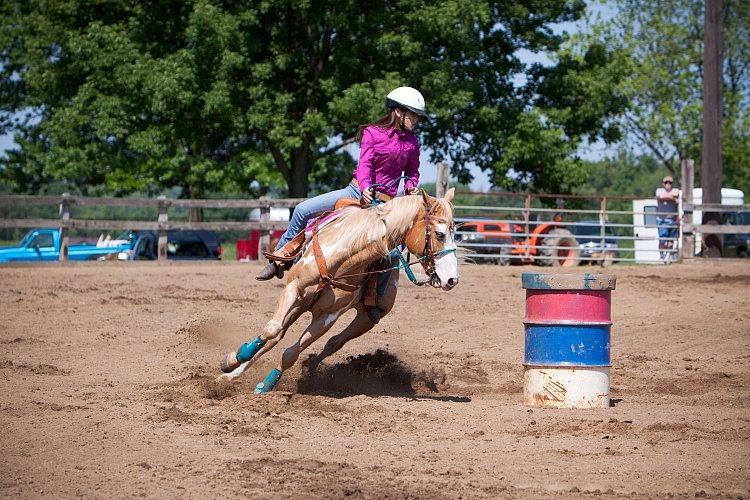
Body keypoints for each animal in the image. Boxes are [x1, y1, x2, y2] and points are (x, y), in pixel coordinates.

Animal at [220, 189, 462, 392]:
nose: (452, 280)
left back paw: (309, 367)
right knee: (276, 335)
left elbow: (291, 353)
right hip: (300, 305)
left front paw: (267, 384)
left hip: (366, 319)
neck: (343, 257)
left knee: (334, 343)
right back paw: (231, 369)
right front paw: (236, 360)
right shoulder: (293, 290)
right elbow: (271, 331)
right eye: (440, 234)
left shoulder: (328, 316)